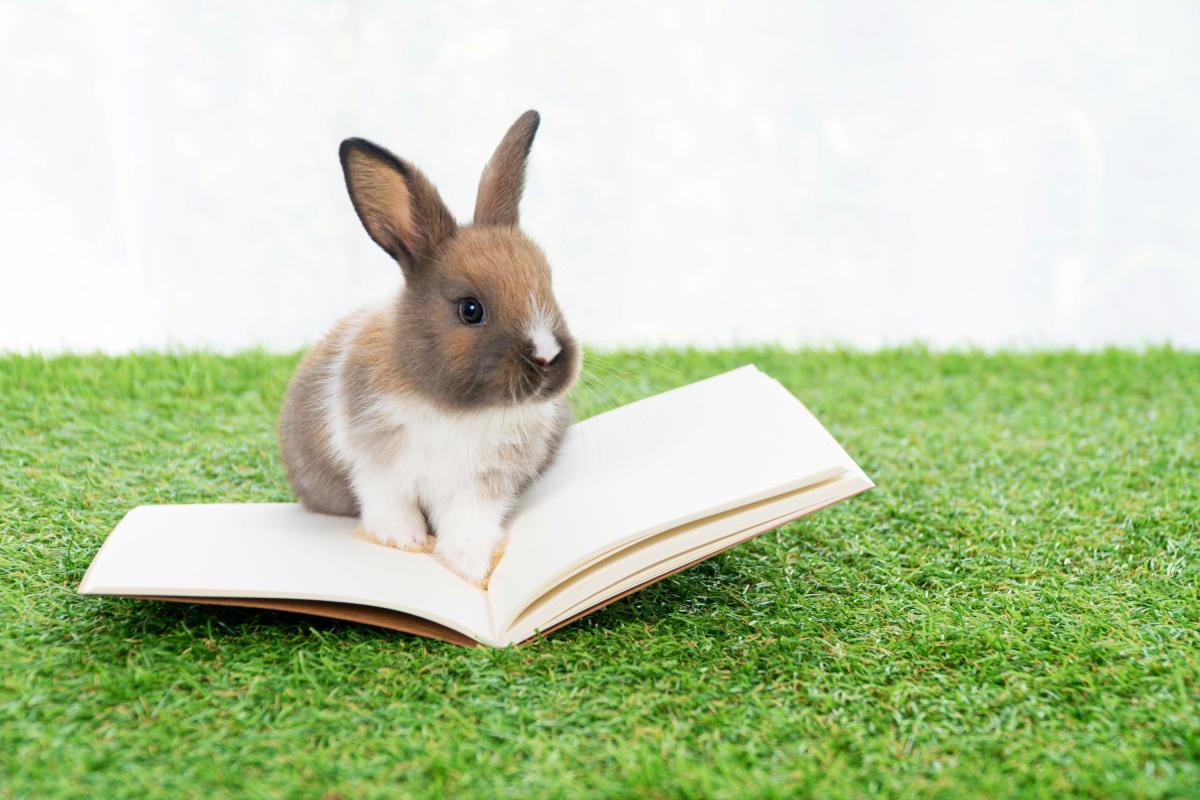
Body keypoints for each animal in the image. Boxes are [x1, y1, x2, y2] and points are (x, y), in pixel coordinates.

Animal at [278, 110, 580, 587]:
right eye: (470, 309)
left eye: (549, 284)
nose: (548, 357)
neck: (454, 409)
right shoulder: (378, 467)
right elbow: (389, 506)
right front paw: (406, 543)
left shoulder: (485, 481)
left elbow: (469, 523)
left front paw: (472, 569)